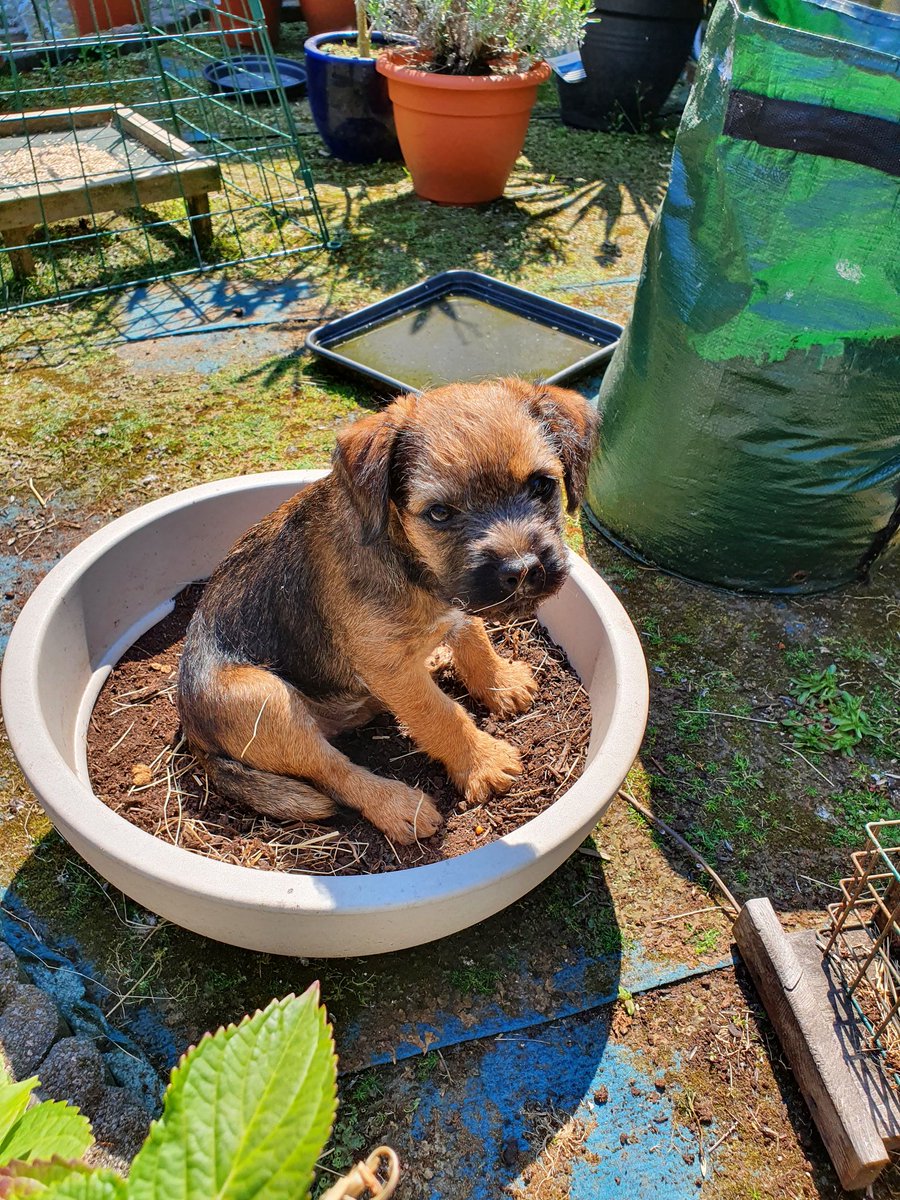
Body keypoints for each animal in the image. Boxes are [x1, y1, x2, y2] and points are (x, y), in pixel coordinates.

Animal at [177, 374, 600, 844]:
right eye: (439, 513)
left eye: (541, 485)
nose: (523, 569)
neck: (411, 564)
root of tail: (192, 734)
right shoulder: (389, 668)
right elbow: (439, 714)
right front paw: (482, 762)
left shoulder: (455, 603)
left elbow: (472, 635)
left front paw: (499, 682)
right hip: (265, 700)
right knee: (332, 770)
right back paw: (397, 805)